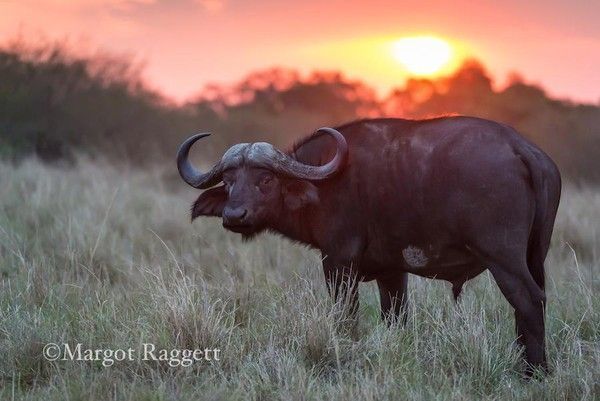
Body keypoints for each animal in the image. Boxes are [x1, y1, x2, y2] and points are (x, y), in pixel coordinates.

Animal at [176, 117, 560, 374]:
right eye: (229, 180)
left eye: (266, 179)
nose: (234, 215)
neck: (324, 182)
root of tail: (520, 148)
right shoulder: (392, 272)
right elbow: (396, 317)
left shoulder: (338, 261)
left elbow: (345, 316)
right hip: (535, 256)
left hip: (503, 258)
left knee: (528, 299)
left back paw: (534, 371)